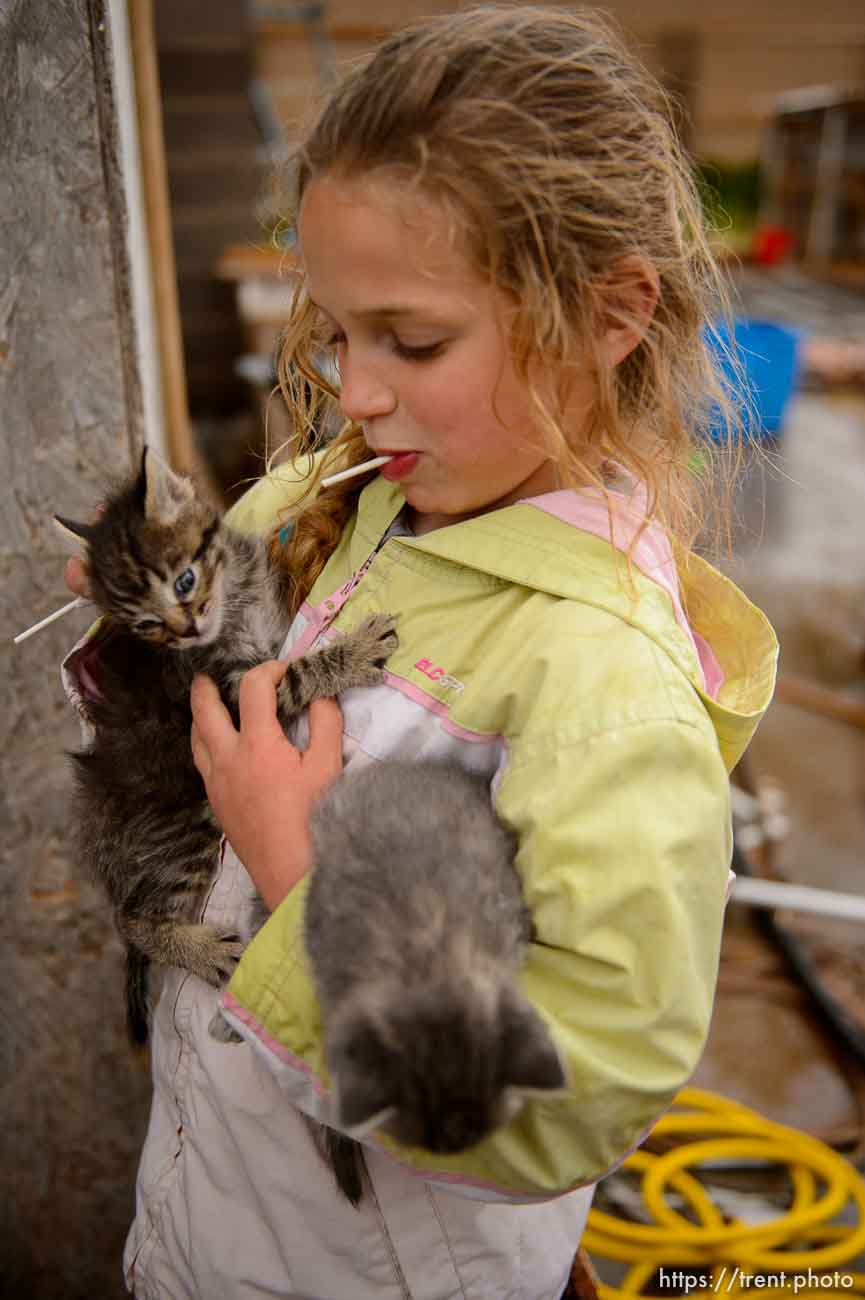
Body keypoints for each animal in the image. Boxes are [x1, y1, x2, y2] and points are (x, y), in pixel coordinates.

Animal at [58, 452, 398, 1040]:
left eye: (185, 581)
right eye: (146, 624)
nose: (185, 629)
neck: (234, 603)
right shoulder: (237, 690)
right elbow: (298, 673)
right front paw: (351, 654)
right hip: (185, 827)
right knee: (133, 917)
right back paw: (200, 951)